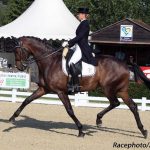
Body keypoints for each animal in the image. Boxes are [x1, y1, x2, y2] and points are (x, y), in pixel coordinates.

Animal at [9, 36, 148, 138]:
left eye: (17, 51)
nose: (19, 67)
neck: (49, 61)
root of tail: (125, 65)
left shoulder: (61, 92)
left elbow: (70, 110)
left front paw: (81, 130)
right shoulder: (44, 89)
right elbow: (27, 100)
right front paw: (12, 117)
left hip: (108, 89)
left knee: (115, 103)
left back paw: (99, 120)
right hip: (121, 90)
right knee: (132, 106)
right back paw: (143, 131)